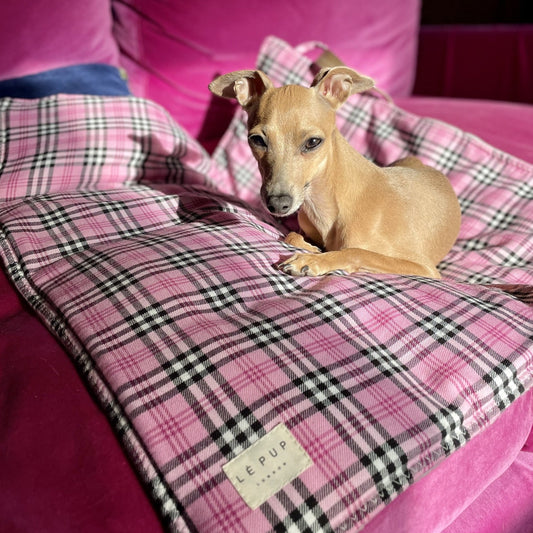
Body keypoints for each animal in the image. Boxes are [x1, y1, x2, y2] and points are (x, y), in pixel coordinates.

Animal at [210, 66, 460, 278]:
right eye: (257, 140)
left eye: (313, 142)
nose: (278, 204)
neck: (324, 204)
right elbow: (292, 235)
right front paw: (311, 249)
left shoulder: (424, 268)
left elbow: (356, 252)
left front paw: (311, 260)